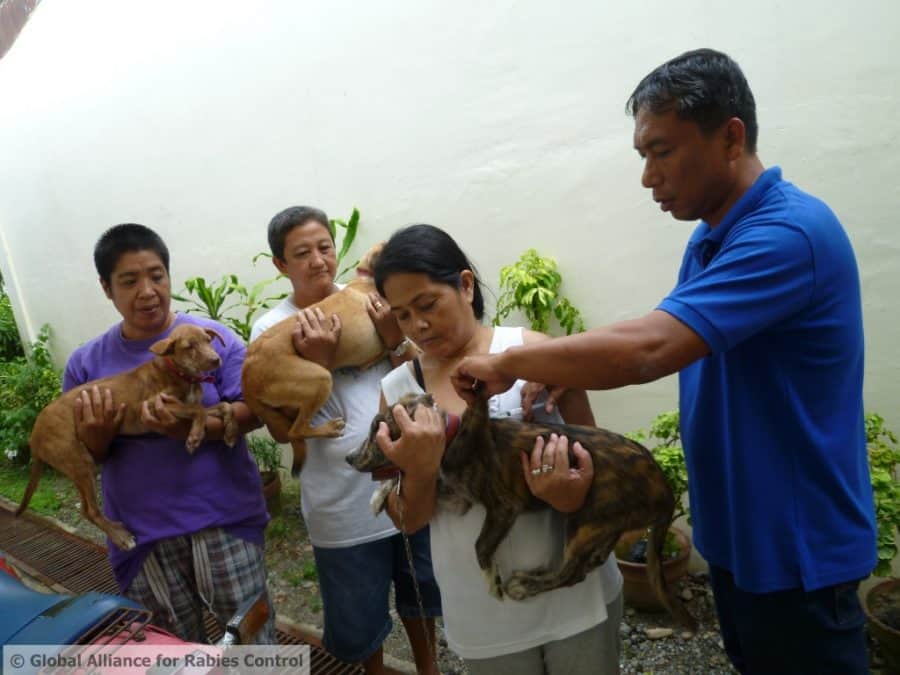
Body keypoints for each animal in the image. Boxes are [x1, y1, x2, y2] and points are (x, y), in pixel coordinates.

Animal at [18, 324, 236, 552]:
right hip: (77, 460)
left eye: (207, 341)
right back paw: (120, 537)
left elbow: (223, 406)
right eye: (189, 347)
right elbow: (197, 410)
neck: (180, 374)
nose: (216, 360)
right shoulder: (154, 404)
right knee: (90, 510)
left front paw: (229, 432)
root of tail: (35, 434)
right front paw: (194, 436)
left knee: (86, 510)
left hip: (76, 464)